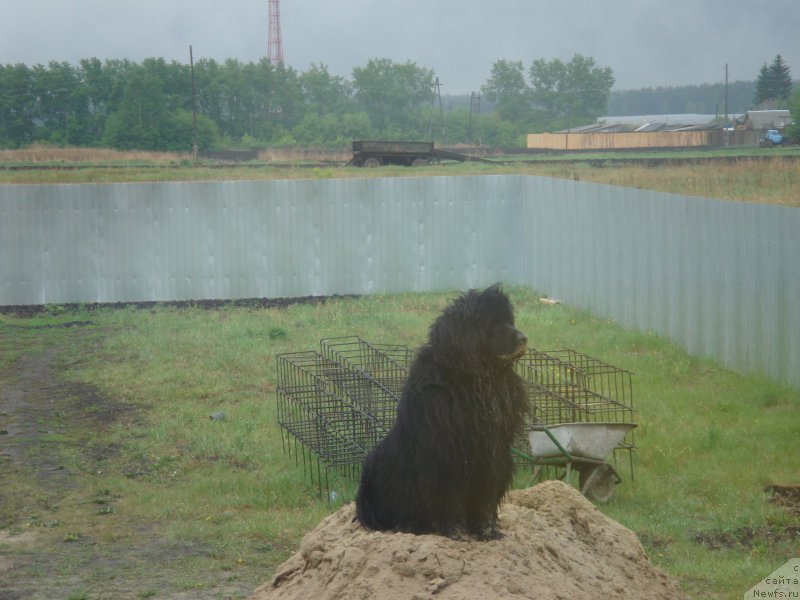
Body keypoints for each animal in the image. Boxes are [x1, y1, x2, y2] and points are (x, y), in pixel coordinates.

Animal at [358, 284, 532, 540]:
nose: (523, 338)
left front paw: (487, 531)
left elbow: (485, 498)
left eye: (509, 320)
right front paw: (455, 531)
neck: (476, 381)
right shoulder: (448, 458)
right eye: (492, 323)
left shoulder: (493, 456)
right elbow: (449, 499)